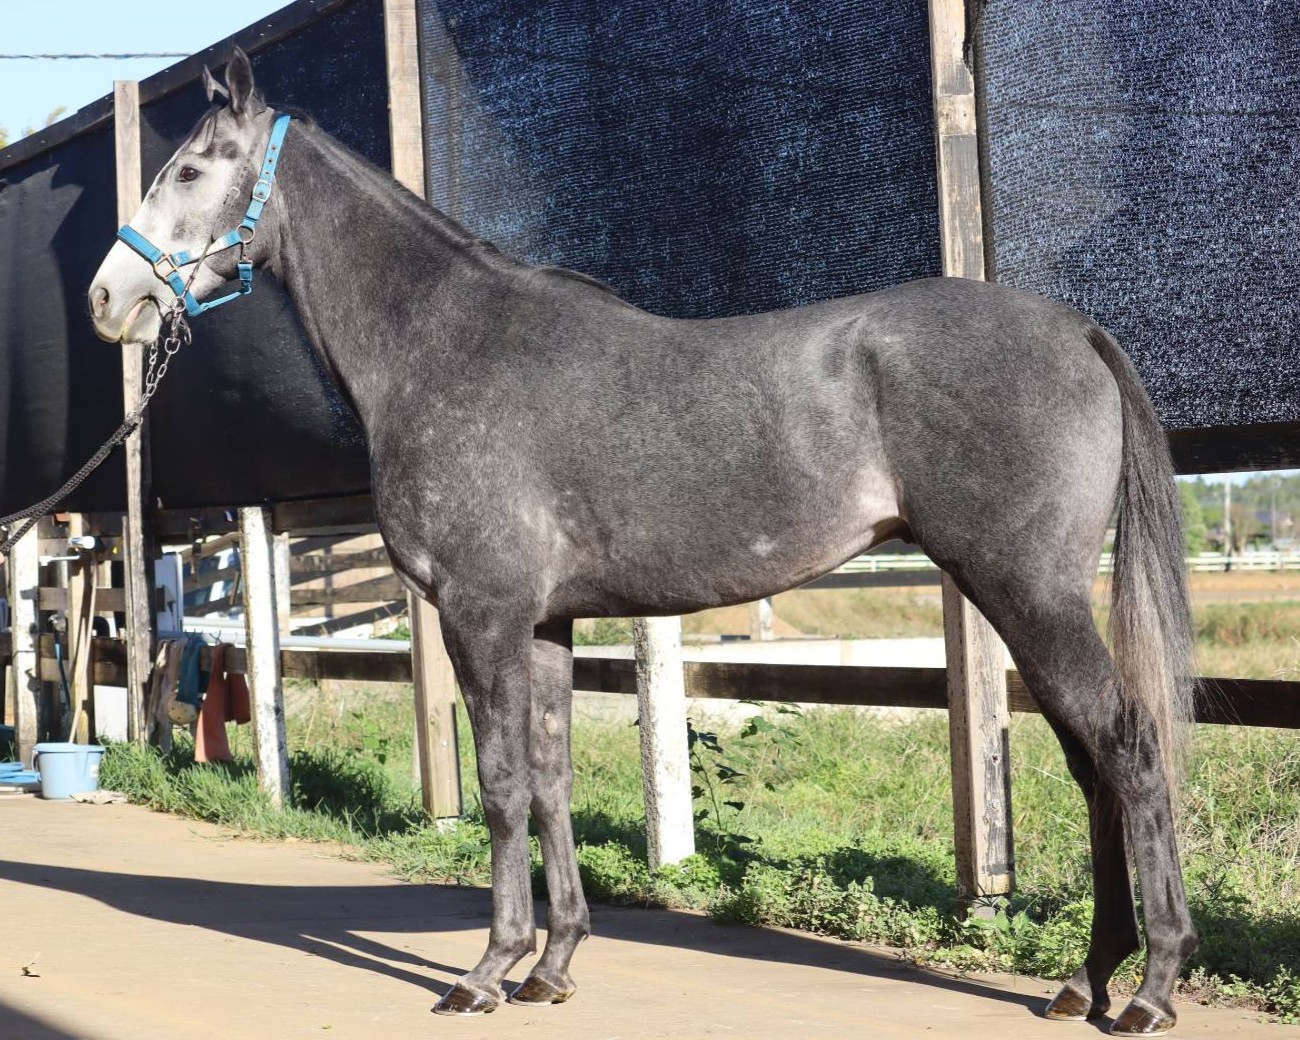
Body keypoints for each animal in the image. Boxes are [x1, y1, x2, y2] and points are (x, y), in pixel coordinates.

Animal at [89, 49, 1196, 1035]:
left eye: (189, 169)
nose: (109, 298)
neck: (443, 345)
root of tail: (1075, 329)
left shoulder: (479, 615)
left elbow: (501, 785)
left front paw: (486, 972)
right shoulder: (543, 625)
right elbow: (551, 778)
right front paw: (553, 964)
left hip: (1027, 592)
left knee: (1130, 748)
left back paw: (1150, 987)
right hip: (1024, 598)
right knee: (1093, 762)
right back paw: (1086, 980)